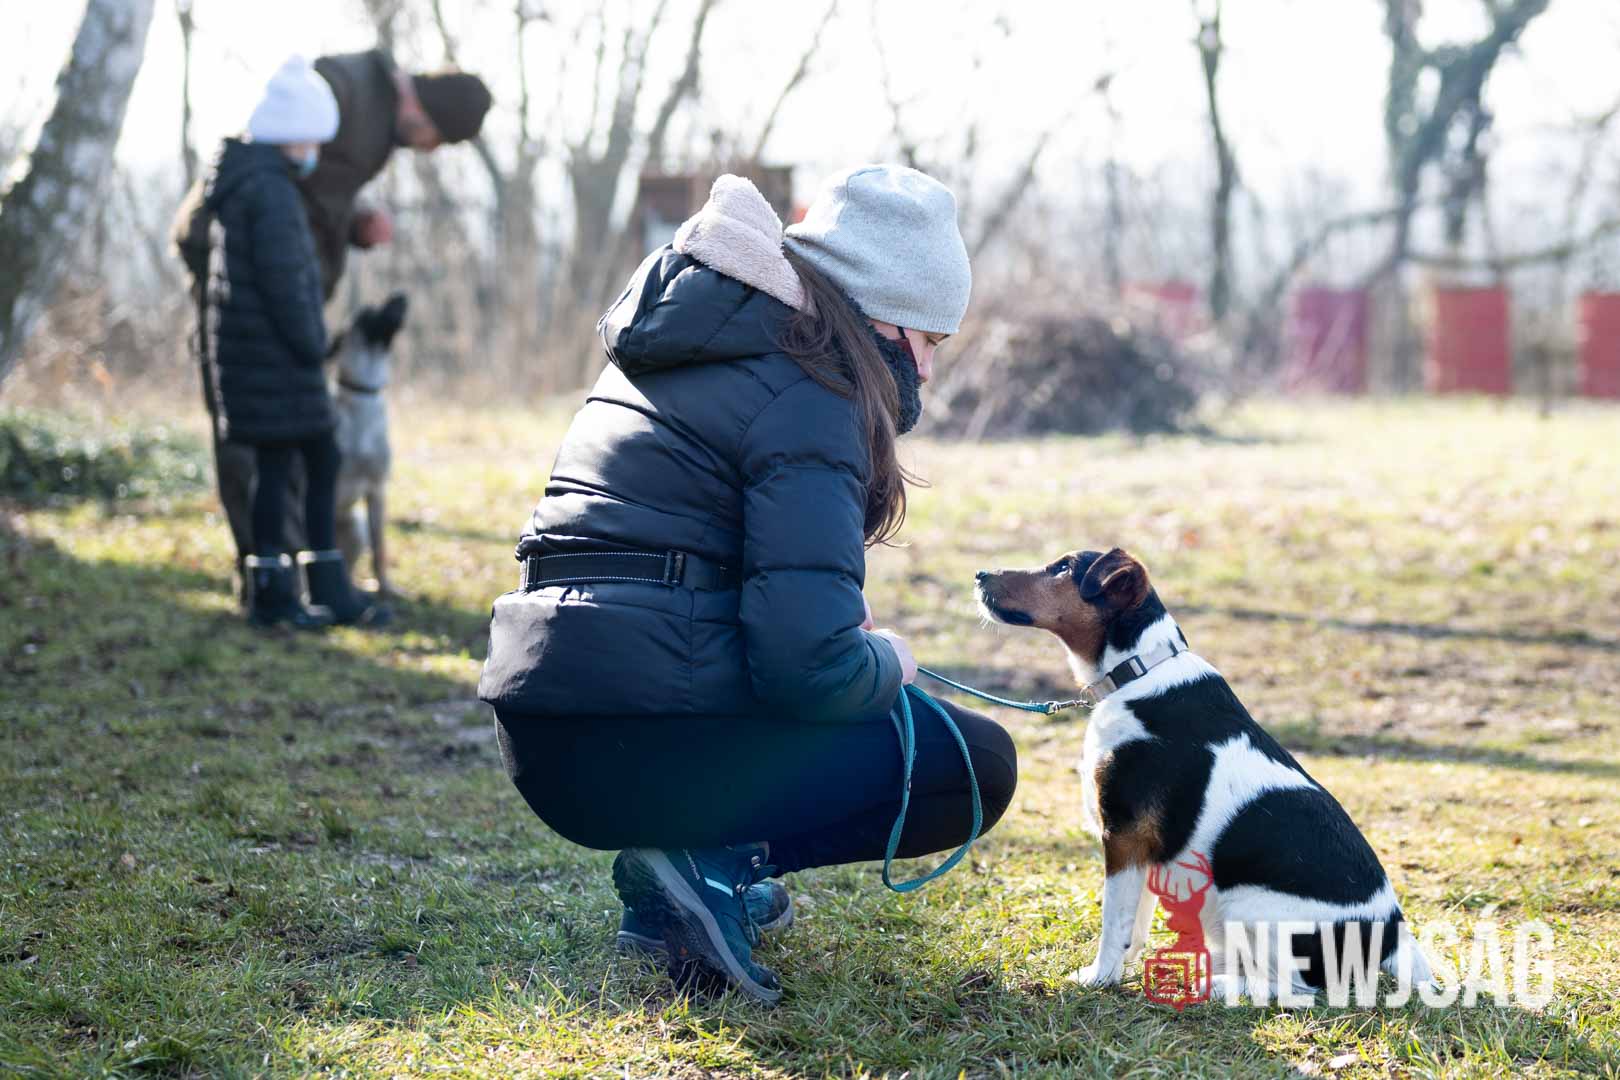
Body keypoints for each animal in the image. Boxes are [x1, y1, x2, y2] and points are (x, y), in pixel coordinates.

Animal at [976, 548, 1432, 1002]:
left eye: (1064, 567)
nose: (980, 574)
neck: (1138, 671)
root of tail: (1391, 936)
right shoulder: (1140, 849)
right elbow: (1133, 926)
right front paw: (1122, 970)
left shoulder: (1123, 835)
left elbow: (1113, 922)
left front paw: (1099, 978)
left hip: (1245, 906)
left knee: (1298, 990)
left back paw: (1213, 984)